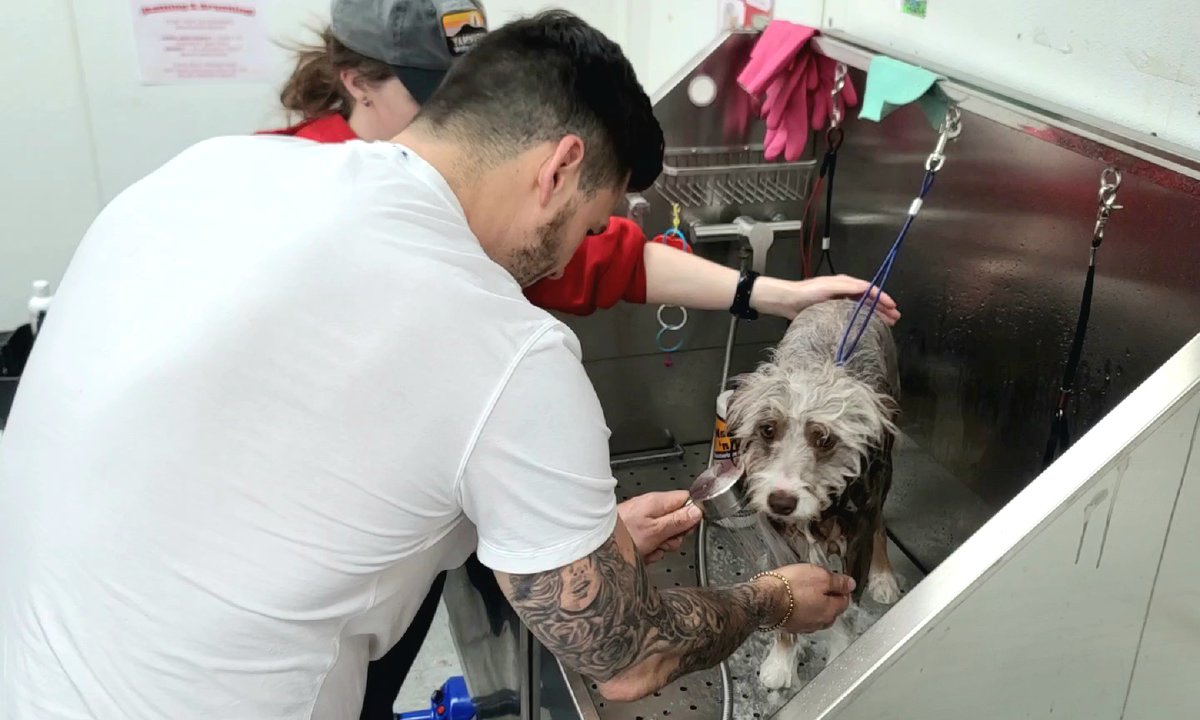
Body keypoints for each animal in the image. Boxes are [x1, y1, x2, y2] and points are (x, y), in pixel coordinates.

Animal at [720, 300, 902, 691]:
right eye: (767, 429)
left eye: (826, 439)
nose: (781, 501)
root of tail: (842, 301)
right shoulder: (779, 543)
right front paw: (782, 660)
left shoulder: (857, 542)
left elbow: (846, 612)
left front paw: (840, 663)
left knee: (881, 522)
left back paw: (883, 575)